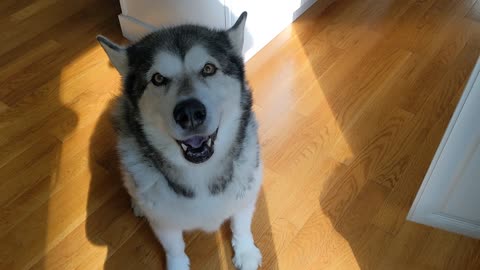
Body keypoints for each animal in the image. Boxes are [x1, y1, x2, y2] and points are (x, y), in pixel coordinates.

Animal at [97, 12, 262, 270]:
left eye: (208, 68)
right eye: (157, 78)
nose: (190, 113)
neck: (200, 172)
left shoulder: (246, 193)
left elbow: (241, 225)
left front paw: (245, 251)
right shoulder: (164, 221)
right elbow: (174, 247)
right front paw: (178, 264)